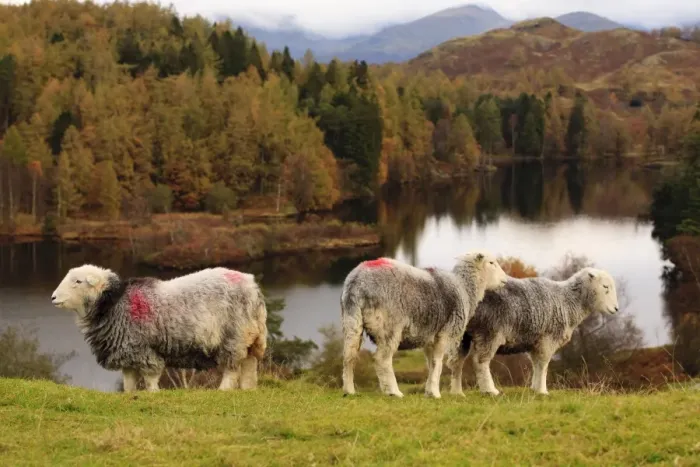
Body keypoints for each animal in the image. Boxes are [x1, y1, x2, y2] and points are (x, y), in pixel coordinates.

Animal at [51, 264, 267, 392]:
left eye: (78, 281)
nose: (52, 298)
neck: (115, 304)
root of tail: (252, 285)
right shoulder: (127, 352)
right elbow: (129, 381)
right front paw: (130, 395)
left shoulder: (144, 350)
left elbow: (150, 377)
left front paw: (153, 393)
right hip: (249, 336)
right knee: (249, 365)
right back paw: (248, 389)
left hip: (233, 336)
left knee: (232, 369)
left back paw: (223, 390)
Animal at [340, 251, 508, 398]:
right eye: (491, 263)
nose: (505, 280)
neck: (465, 289)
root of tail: (357, 281)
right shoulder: (444, 332)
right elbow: (438, 363)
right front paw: (435, 393)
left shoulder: (429, 336)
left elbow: (431, 364)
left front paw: (429, 391)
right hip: (389, 326)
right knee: (382, 359)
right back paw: (393, 392)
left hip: (352, 320)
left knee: (349, 356)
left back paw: (349, 390)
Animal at [448, 267, 620, 396]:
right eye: (605, 287)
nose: (616, 309)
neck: (569, 301)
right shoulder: (548, 338)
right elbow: (543, 364)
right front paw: (543, 391)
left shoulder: (536, 341)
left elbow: (537, 364)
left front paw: (535, 389)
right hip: (489, 330)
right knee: (480, 361)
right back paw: (490, 390)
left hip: (462, 333)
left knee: (456, 361)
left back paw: (457, 392)